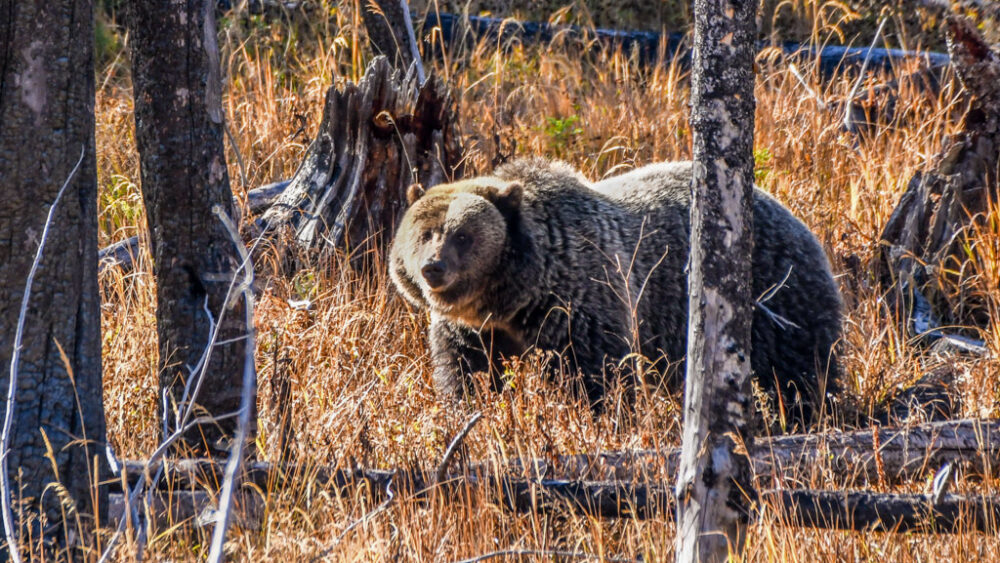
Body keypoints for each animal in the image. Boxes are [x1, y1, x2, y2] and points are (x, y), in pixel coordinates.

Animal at [389, 158, 842, 426]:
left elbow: (597, 378)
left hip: (776, 297)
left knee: (800, 370)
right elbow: (466, 377)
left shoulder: (582, 304)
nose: (433, 268)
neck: (512, 299)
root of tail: (792, 214)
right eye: (425, 232)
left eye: (463, 235)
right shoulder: (472, 332)